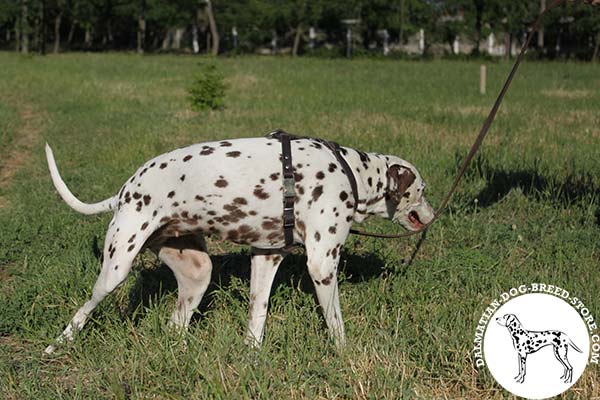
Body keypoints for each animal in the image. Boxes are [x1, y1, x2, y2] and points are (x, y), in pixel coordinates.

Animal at [44, 134, 434, 354]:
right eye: (422, 189)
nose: (433, 214)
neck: (351, 172)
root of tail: (125, 190)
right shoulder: (322, 264)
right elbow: (335, 323)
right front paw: (344, 354)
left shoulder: (266, 256)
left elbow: (257, 314)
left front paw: (251, 354)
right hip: (116, 268)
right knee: (84, 309)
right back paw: (56, 345)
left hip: (198, 274)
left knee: (175, 325)